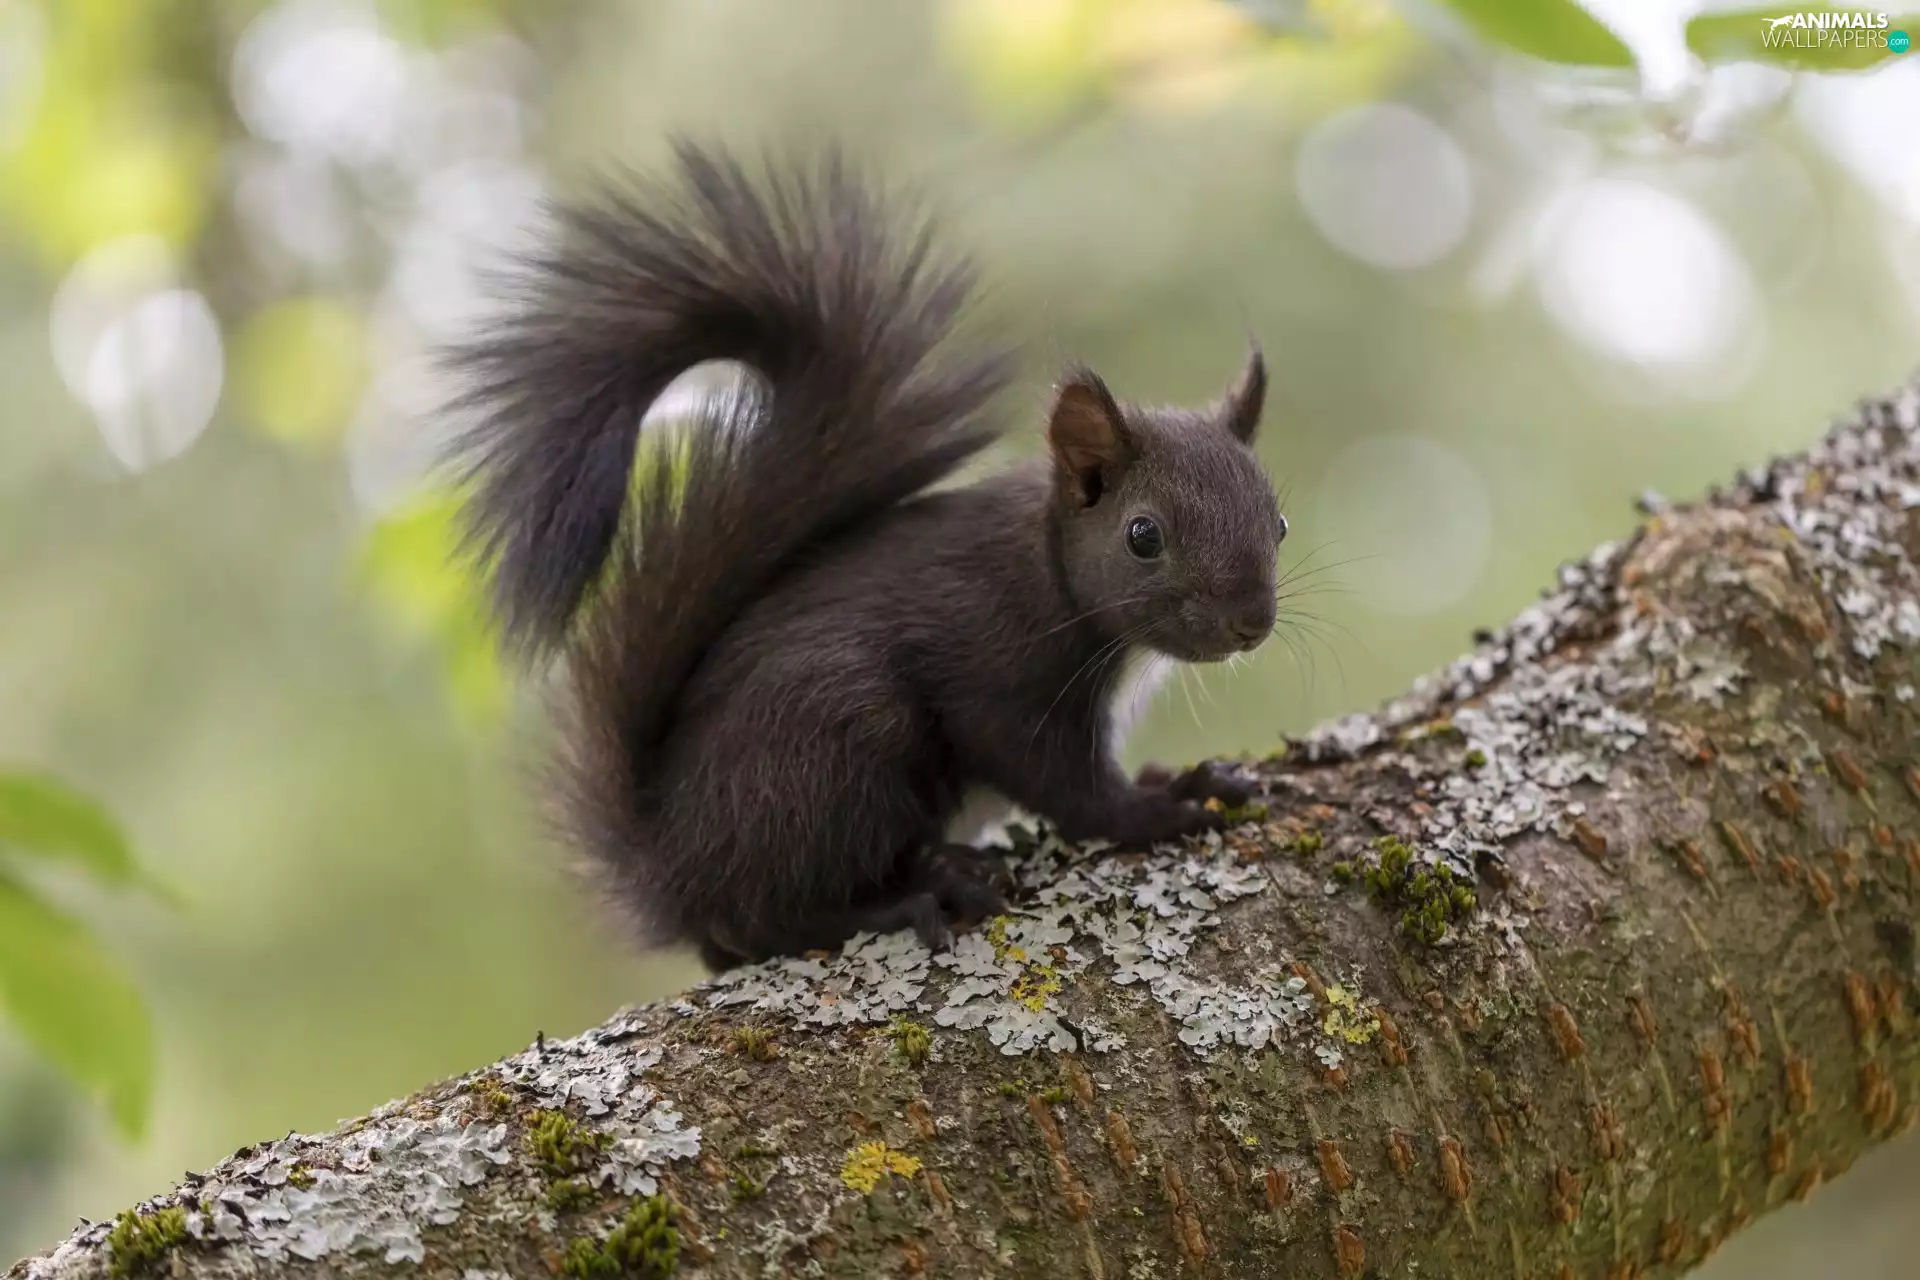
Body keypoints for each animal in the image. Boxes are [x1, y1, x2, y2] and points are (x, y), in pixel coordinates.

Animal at [445, 142, 1288, 971]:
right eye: (1144, 536)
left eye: (1277, 521)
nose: (1251, 622)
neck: (1053, 573)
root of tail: (673, 871)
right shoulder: (995, 670)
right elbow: (1067, 786)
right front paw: (1162, 807)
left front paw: (1187, 775)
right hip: (840, 749)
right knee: (763, 920)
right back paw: (910, 897)